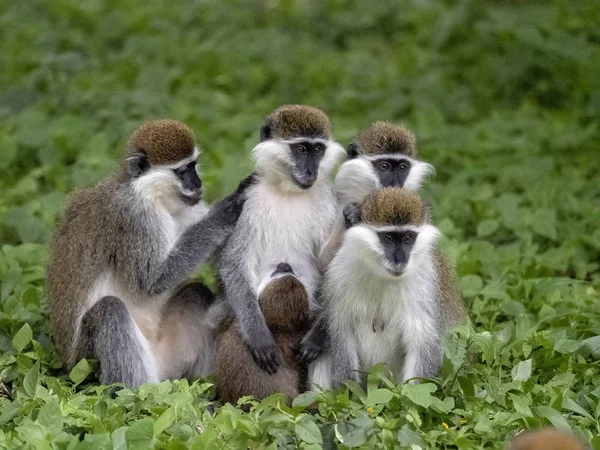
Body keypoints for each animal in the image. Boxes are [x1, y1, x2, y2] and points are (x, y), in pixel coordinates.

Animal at [218, 104, 344, 372]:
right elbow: (235, 264)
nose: (311, 171)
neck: (289, 191)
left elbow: (332, 267)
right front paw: (260, 338)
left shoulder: (328, 200)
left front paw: (316, 340)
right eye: (301, 149)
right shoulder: (248, 200)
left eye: (318, 150)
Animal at [310, 188, 468, 388]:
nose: (399, 260)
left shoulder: (426, 285)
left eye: (408, 238)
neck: (381, 275)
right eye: (389, 238)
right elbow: (342, 333)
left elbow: (422, 343)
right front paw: (351, 394)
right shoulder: (338, 276)